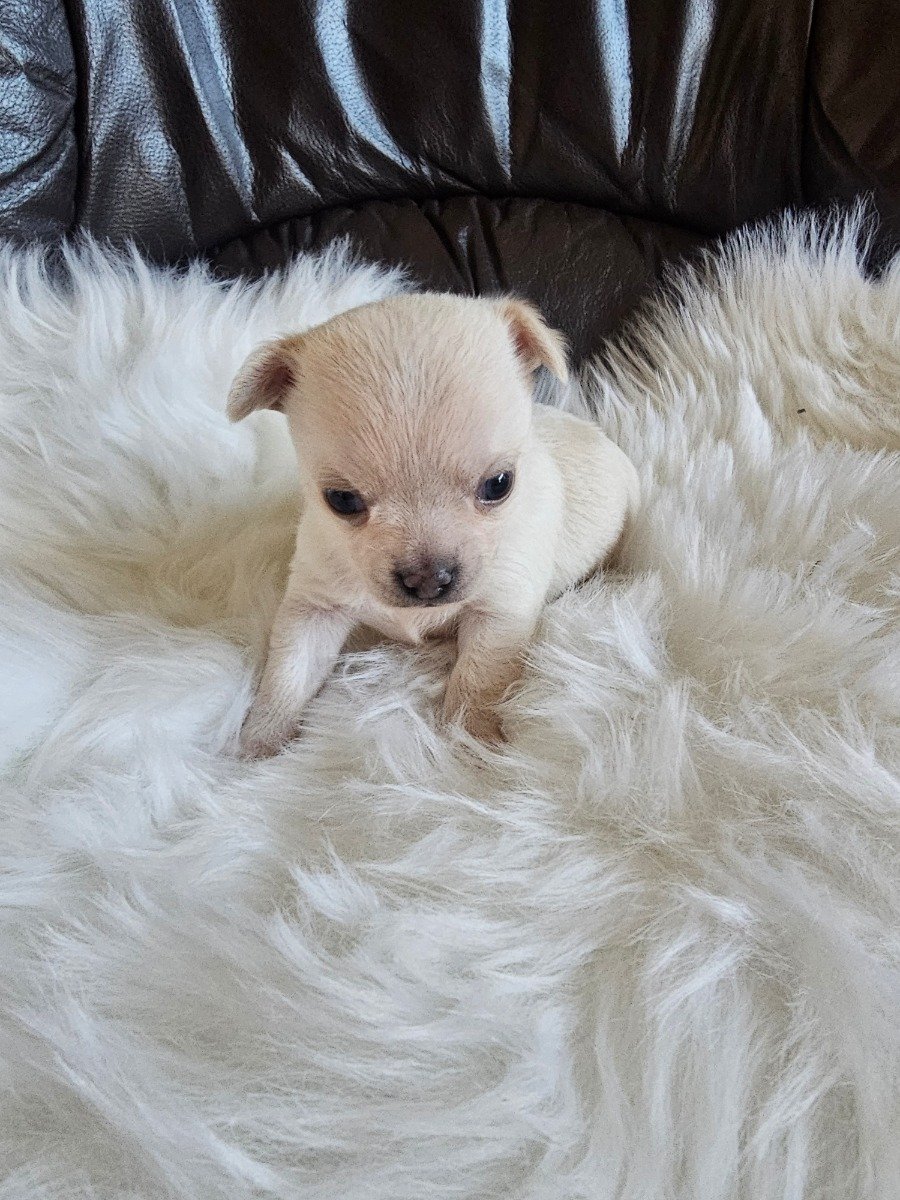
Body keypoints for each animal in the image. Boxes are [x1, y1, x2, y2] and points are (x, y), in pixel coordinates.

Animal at [227, 293, 639, 755]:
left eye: (499, 484)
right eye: (341, 500)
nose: (427, 580)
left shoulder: (500, 611)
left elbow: (480, 678)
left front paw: (474, 745)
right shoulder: (314, 606)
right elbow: (287, 674)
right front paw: (262, 743)